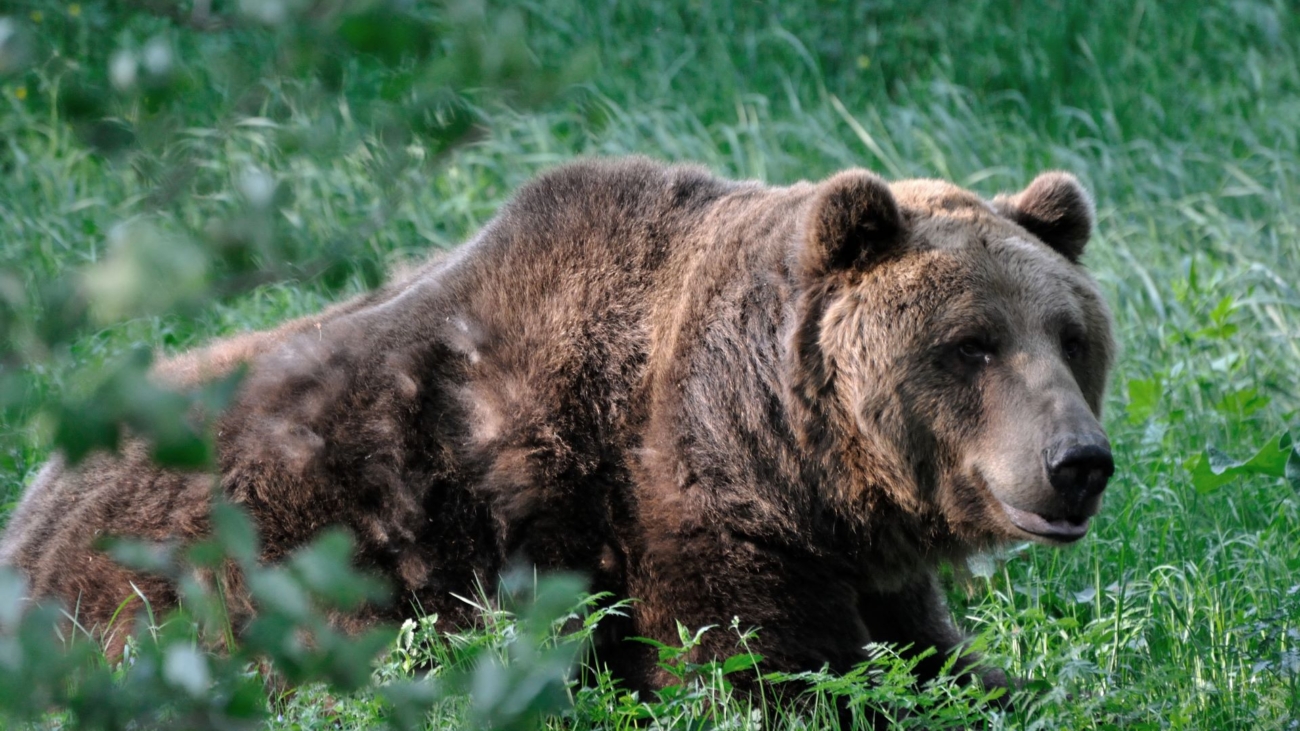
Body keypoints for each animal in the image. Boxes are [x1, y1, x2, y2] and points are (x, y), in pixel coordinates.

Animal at [0, 158, 1118, 691]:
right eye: (971, 344)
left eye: (1071, 336)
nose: (1079, 461)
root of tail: (32, 499)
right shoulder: (661, 513)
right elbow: (770, 671)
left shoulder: (859, 554)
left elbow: (943, 661)